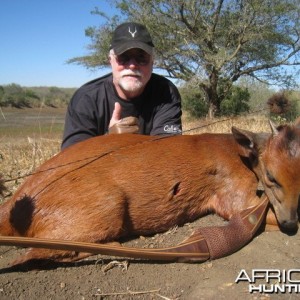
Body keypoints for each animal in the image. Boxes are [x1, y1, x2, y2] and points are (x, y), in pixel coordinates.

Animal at [0, 118, 298, 266]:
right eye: (271, 176)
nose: (290, 223)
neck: (239, 153)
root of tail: (15, 204)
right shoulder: (234, 198)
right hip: (108, 207)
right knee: (33, 254)